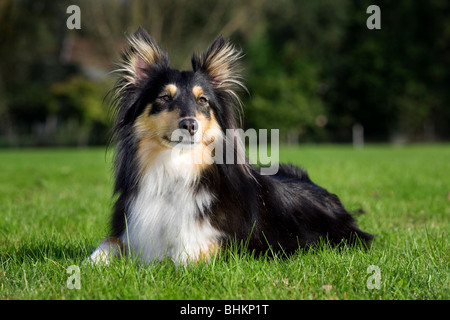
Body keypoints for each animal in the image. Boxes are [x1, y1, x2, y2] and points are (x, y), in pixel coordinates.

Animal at [85, 26, 372, 264]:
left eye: (202, 100)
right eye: (165, 97)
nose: (190, 125)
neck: (176, 168)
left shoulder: (221, 248)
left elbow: (181, 257)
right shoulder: (130, 231)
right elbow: (108, 243)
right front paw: (89, 266)